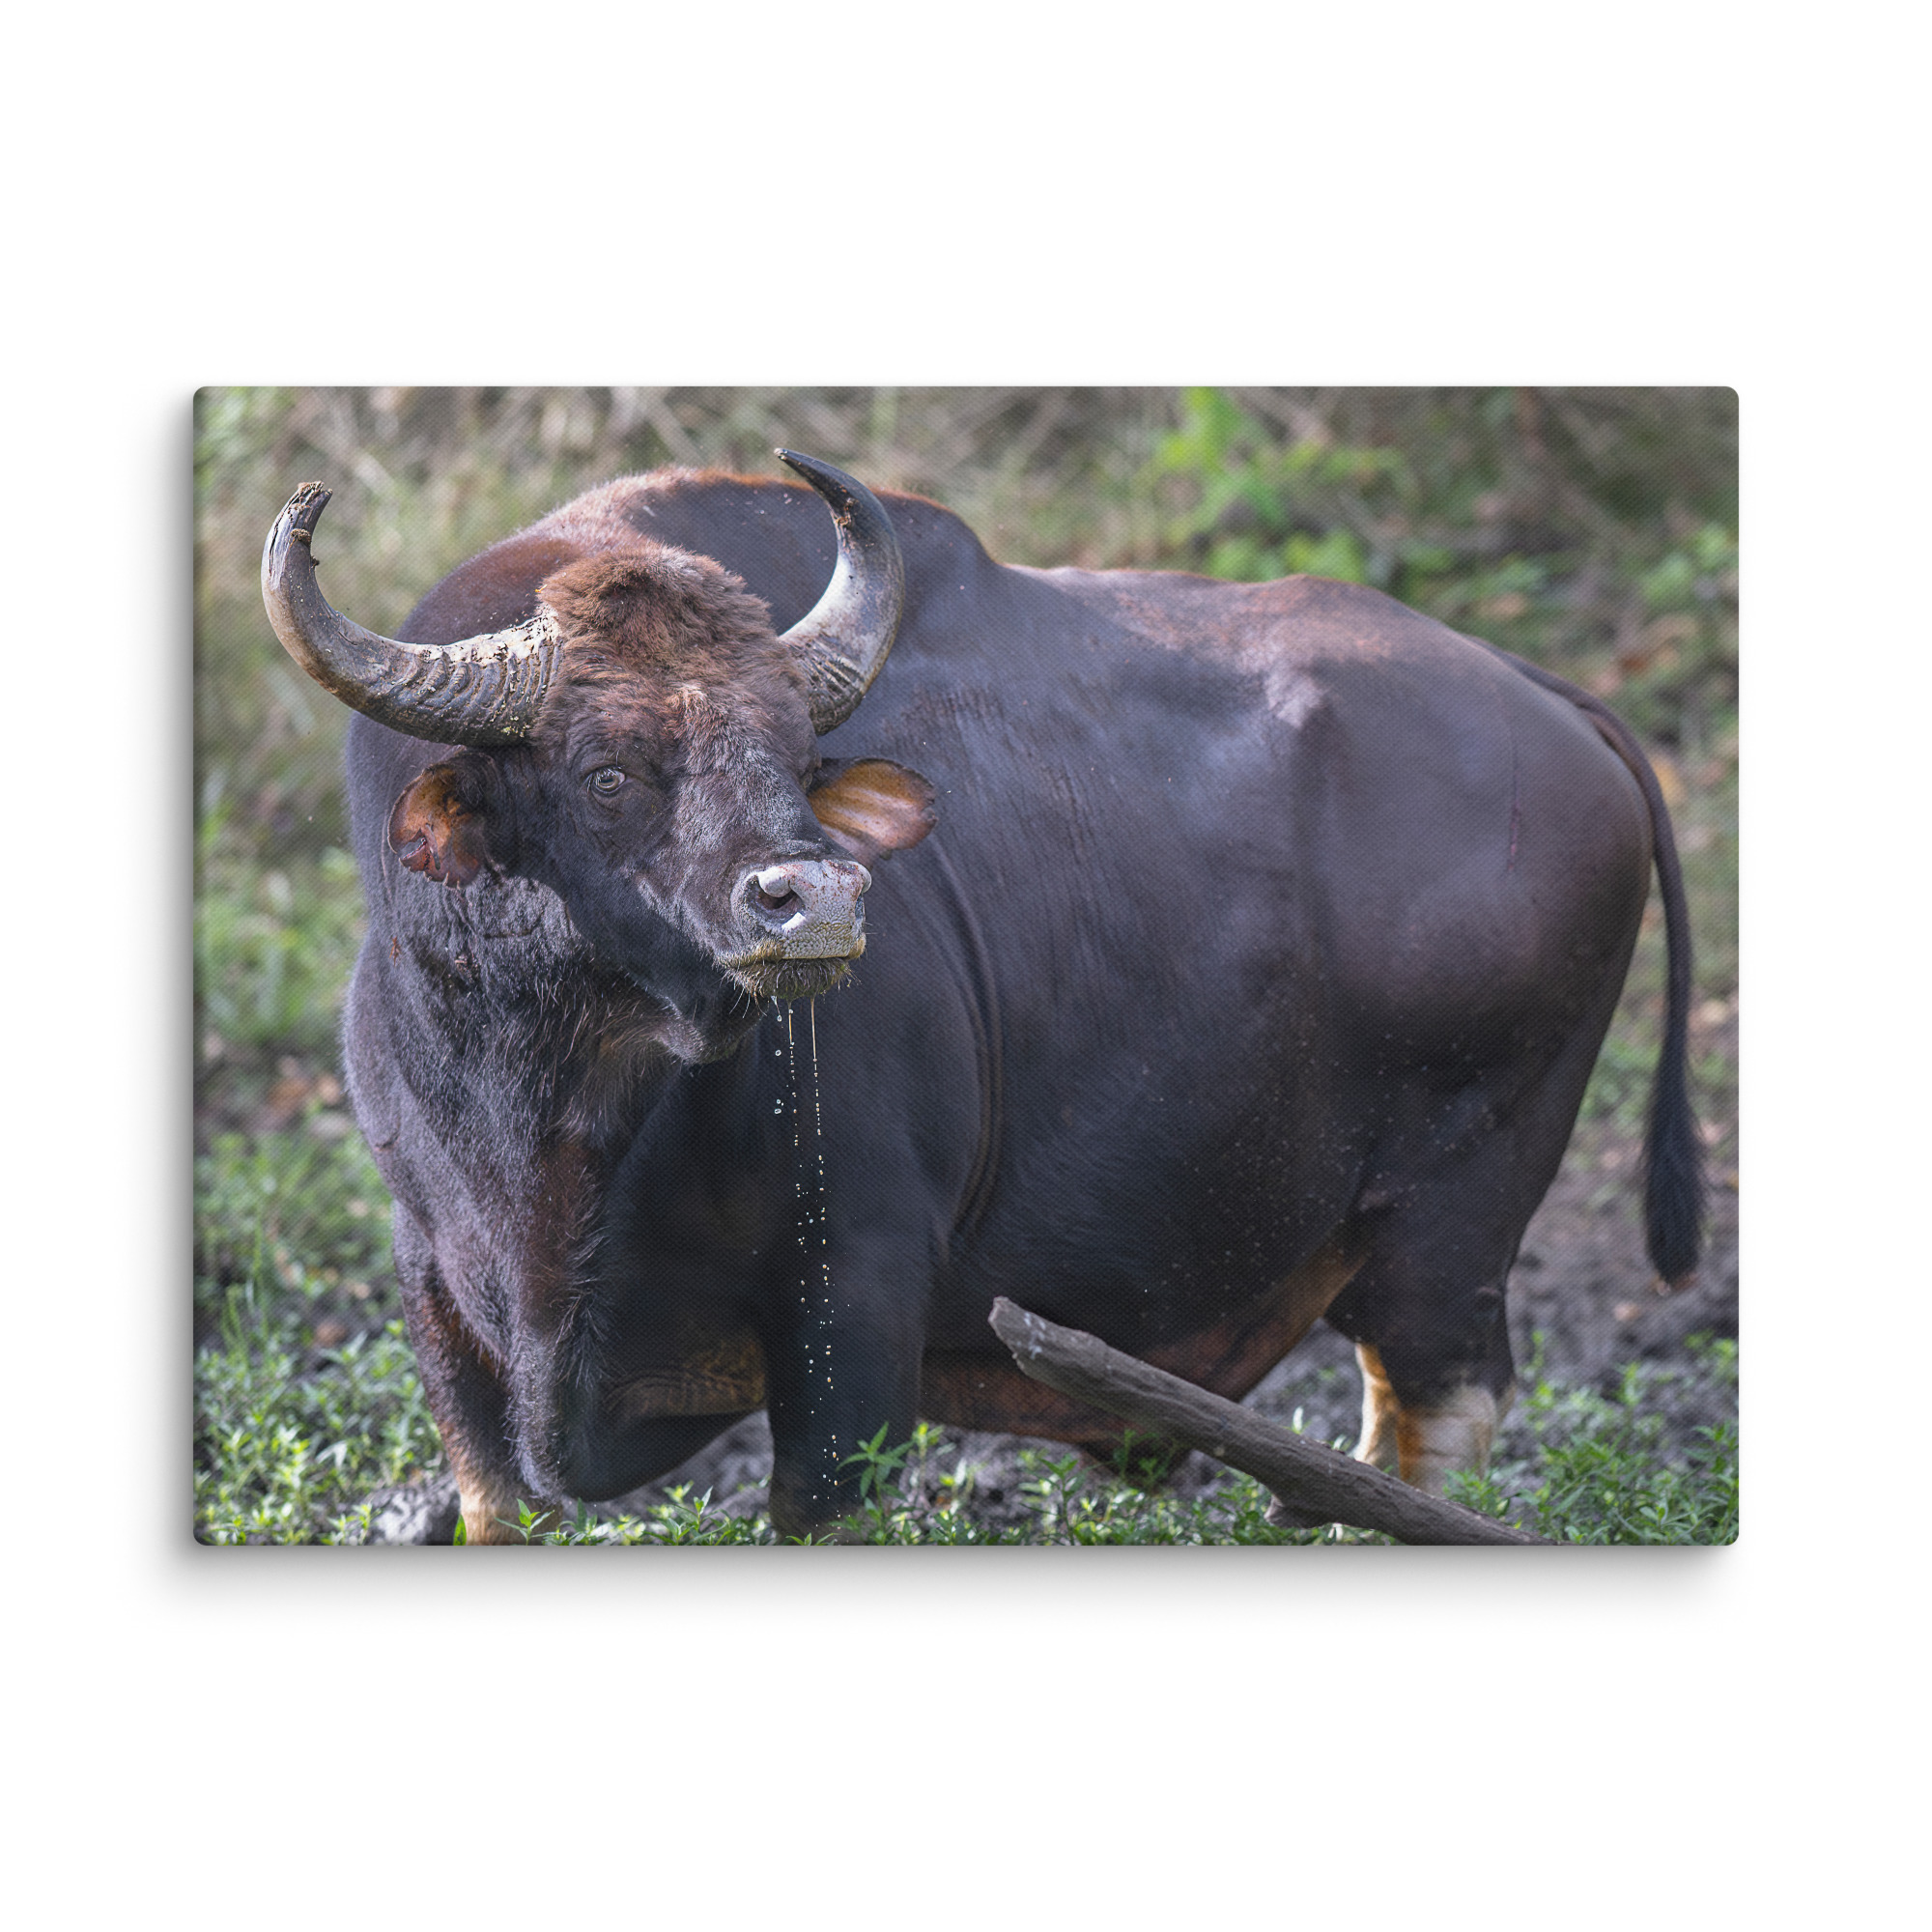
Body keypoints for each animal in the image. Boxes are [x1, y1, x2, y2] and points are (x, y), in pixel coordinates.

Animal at [261, 450, 1700, 1543]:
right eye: (608, 770)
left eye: (793, 750)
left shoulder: (856, 1304)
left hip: (1456, 1222)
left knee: (1438, 1412)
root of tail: (1551, 704)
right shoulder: (441, 1309)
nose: (814, 901)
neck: (560, 1126)